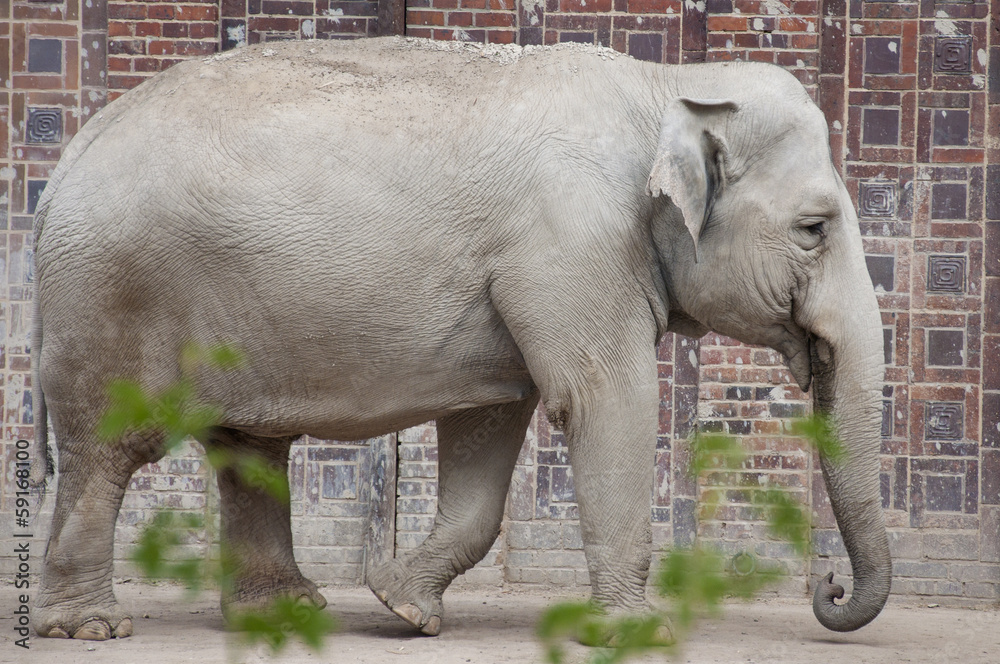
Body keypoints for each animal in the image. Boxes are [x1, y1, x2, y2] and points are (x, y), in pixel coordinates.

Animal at [30, 36, 890, 641]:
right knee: (107, 448)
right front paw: (633, 633)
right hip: (111, 294)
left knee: (250, 448)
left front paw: (402, 606)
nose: (830, 586)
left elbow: (490, 423)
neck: (666, 85)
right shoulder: (573, 245)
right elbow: (606, 398)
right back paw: (91, 627)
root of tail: (70, 153)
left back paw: (288, 613)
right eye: (814, 228)